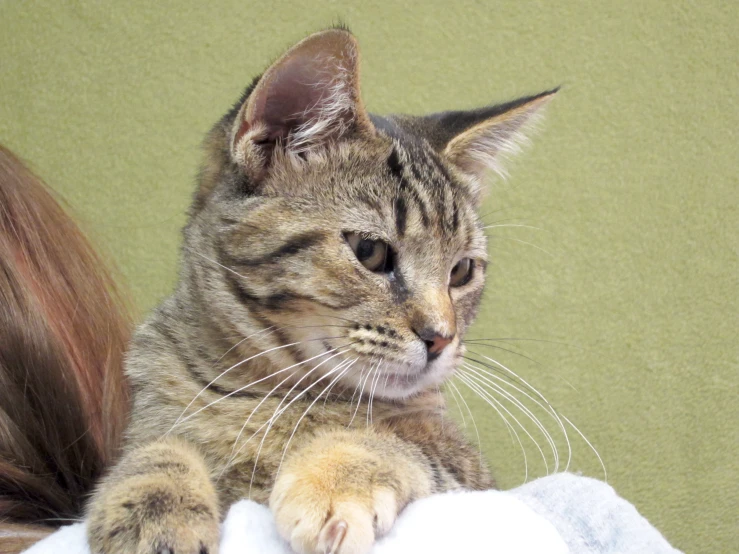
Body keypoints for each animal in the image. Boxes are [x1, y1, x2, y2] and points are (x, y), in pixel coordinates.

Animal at [86, 28, 556, 552]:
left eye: (461, 271)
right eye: (370, 251)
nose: (441, 337)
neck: (270, 398)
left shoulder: (467, 468)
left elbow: (390, 439)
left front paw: (335, 481)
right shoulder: (151, 416)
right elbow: (156, 447)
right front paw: (154, 504)